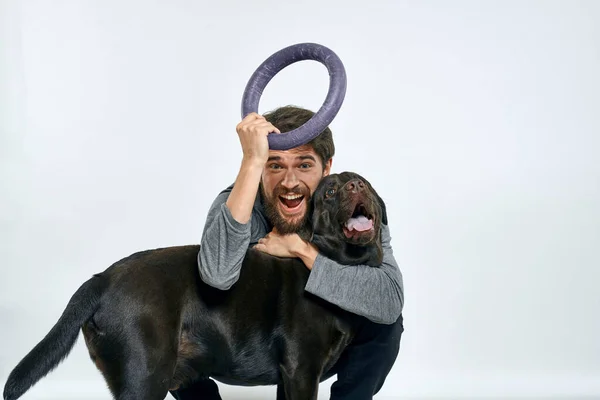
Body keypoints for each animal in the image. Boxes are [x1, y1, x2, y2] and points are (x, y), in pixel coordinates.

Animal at [3, 172, 390, 400]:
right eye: (330, 191)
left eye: (365, 184)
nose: (356, 187)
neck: (335, 260)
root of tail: (102, 277)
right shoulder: (301, 372)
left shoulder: (289, 377)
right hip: (145, 376)